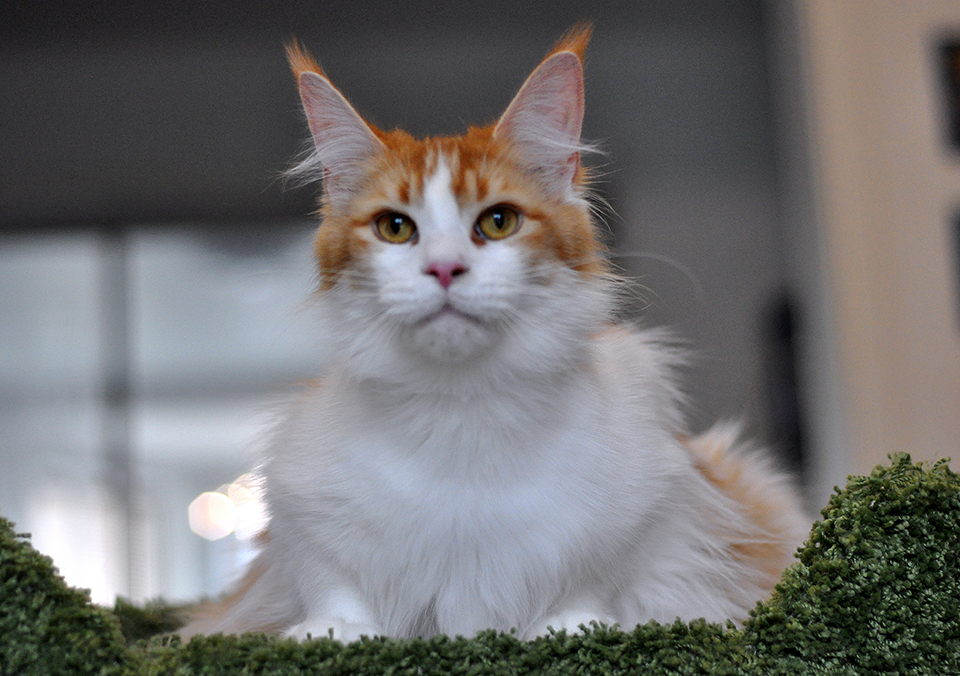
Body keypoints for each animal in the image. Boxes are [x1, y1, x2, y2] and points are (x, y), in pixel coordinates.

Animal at [178, 23, 804, 640]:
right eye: (395, 227)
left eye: (498, 221)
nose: (444, 268)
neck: (462, 408)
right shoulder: (301, 506)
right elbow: (334, 586)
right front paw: (332, 632)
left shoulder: (647, 504)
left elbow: (595, 578)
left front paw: (572, 624)